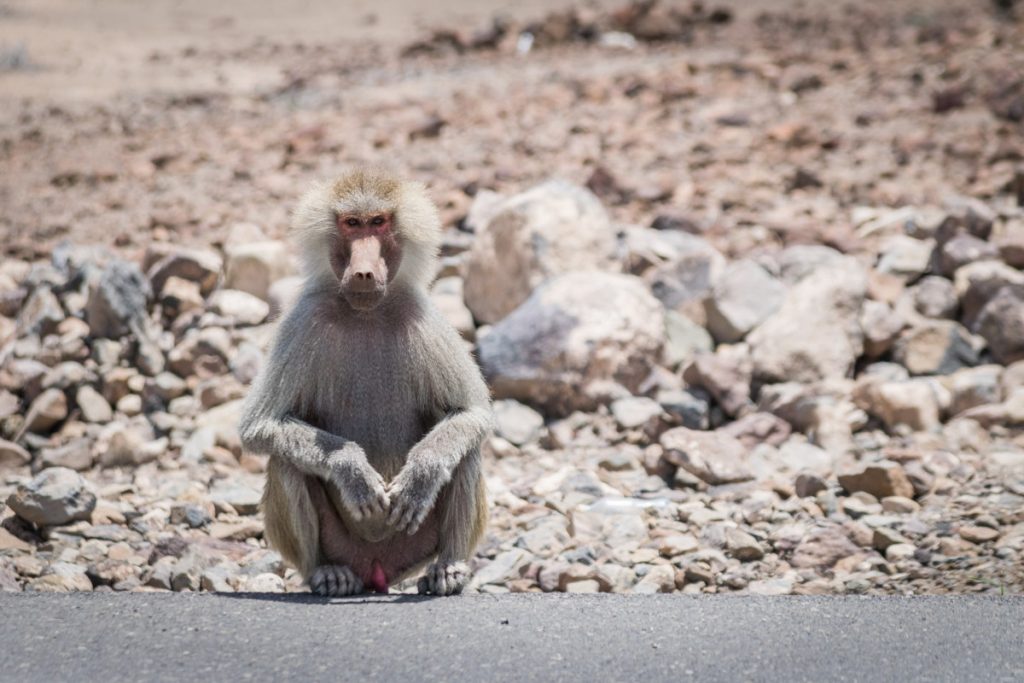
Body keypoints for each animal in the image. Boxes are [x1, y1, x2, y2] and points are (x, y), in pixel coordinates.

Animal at [241, 167, 493, 593]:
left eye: (378, 222)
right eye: (351, 224)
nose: (363, 272)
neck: (366, 313)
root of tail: (377, 569)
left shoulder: (423, 317)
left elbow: (470, 414)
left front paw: (421, 475)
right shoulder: (303, 320)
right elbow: (260, 425)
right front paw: (352, 472)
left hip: (412, 544)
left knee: (465, 451)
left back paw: (448, 569)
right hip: (344, 546)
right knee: (286, 461)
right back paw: (325, 571)